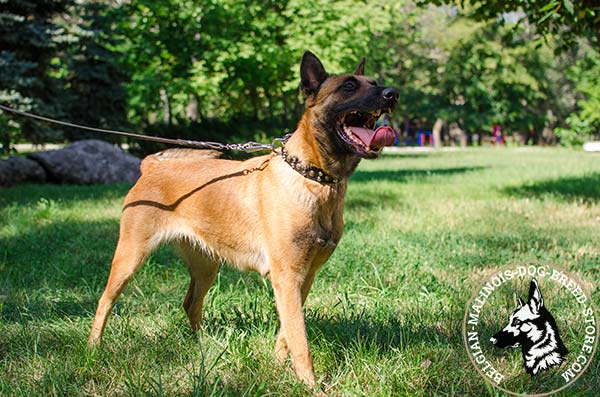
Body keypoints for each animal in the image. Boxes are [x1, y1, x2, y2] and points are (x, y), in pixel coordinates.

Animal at [89, 51, 398, 386]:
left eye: (374, 82)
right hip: (130, 257)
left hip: (206, 266)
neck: (312, 177)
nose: (392, 94)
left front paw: (278, 367)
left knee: (190, 303)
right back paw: (94, 348)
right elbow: (300, 339)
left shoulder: (303, 278)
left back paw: (202, 346)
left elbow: (287, 333)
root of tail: (151, 167)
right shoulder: (288, 277)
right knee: (104, 302)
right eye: (349, 86)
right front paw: (310, 385)